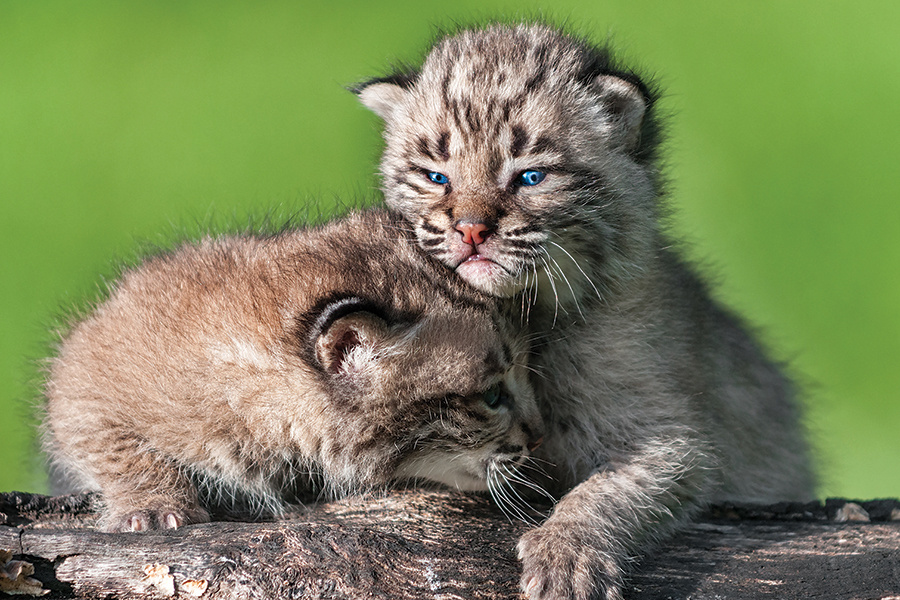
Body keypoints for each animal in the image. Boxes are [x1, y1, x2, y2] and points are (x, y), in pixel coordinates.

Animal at [356, 22, 816, 600]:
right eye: (436, 178)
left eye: (530, 177)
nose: (471, 230)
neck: (532, 311)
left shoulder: (673, 437)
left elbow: (607, 490)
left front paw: (566, 556)